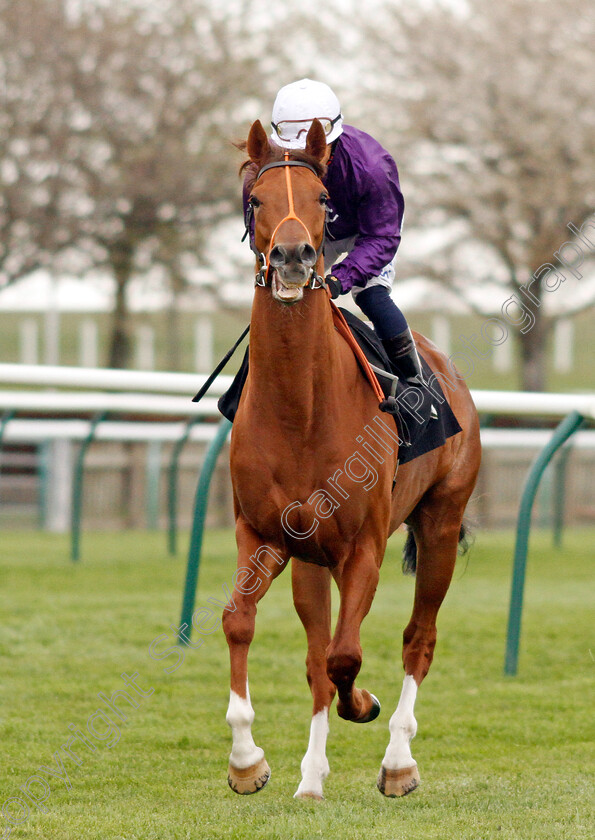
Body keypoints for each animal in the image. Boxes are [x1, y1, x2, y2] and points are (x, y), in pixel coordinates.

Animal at [221, 118, 482, 800]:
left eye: (322, 200)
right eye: (255, 201)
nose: (292, 259)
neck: (301, 411)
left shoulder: (363, 544)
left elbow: (348, 656)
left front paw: (363, 704)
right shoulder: (262, 532)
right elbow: (242, 623)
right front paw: (247, 760)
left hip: (439, 523)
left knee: (417, 639)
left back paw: (398, 763)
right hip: (312, 559)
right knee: (318, 654)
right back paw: (311, 778)